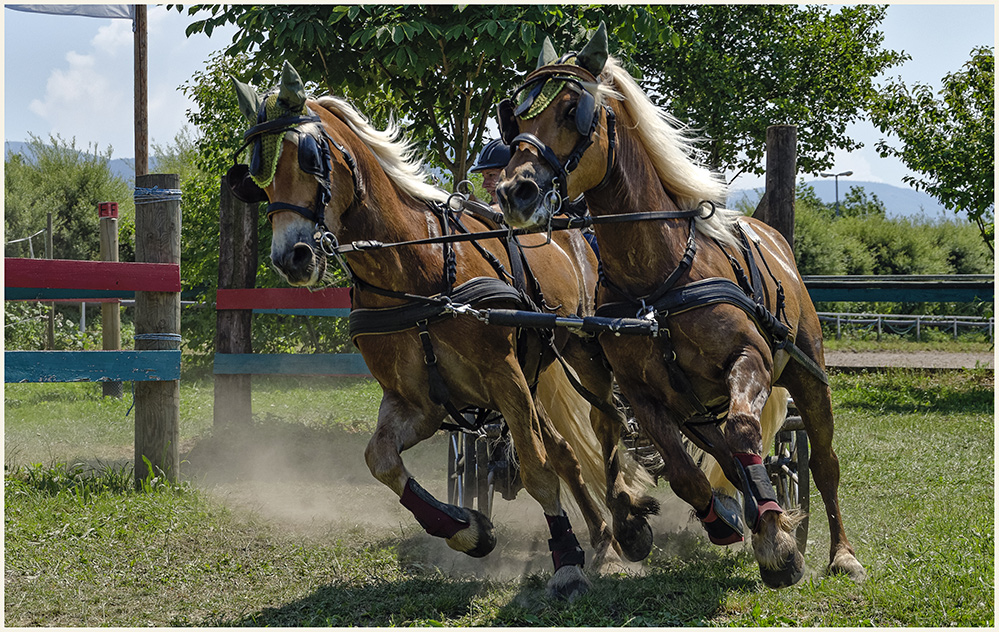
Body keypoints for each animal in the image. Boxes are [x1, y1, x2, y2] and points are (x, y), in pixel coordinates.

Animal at [227, 63, 656, 596]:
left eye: (309, 155)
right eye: (256, 173)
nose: (292, 257)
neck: (415, 271)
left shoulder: (502, 375)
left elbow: (537, 468)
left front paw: (566, 562)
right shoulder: (418, 401)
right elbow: (381, 460)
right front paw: (469, 530)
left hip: (580, 349)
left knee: (605, 426)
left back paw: (626, 524)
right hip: (534, 375)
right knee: (565, 451)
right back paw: (600, 535)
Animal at [494, 24, 868, 588]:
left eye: (571, 109)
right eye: (514, 117)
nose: (514, 190)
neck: (658, 276)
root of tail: (772, 234)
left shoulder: (751, 359)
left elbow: (744, 432)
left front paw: (778, 544)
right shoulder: (644, 394)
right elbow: (682, 470)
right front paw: (726, 519)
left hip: (807, 373)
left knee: (822, 461)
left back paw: (840, 552)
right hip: (695, 407)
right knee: (724, 455)